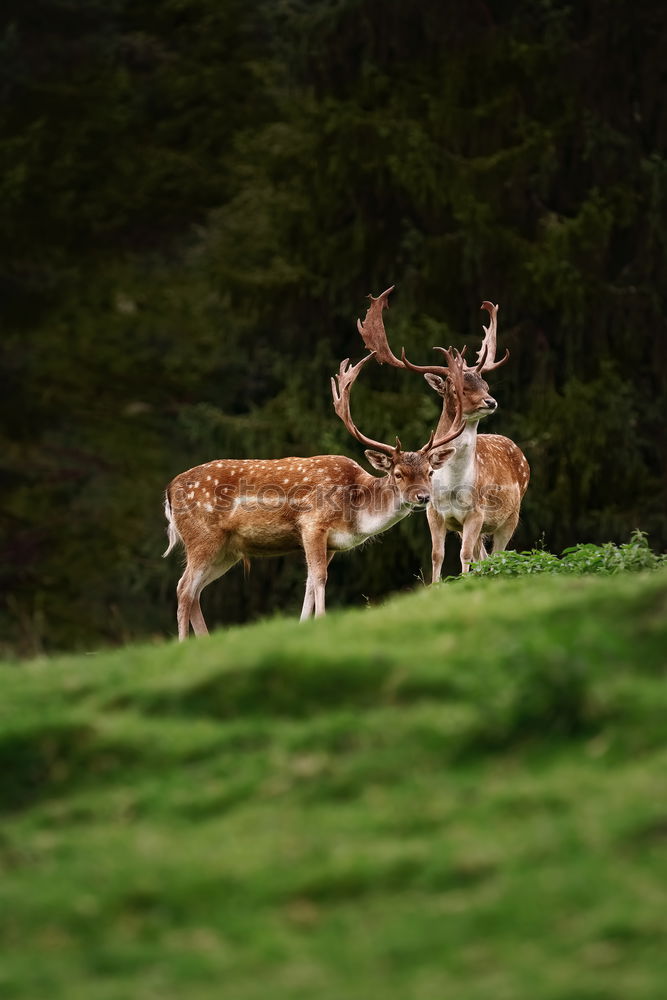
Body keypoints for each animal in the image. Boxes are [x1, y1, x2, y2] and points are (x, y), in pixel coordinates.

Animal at [163, 338, 464, 632]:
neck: (355, 510)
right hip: (202, 536)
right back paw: (183, 642)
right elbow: (319, 577)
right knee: (184, 588)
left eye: (429, 472)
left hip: (228, 550)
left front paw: (304, 623)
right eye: (398, 473)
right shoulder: (312, 524)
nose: (423, 497)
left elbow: (308, 583)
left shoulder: (331, 544)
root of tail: (168, 490)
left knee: (196, 591)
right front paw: (321, 620)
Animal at [354, 284, 532, 580]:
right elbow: (437, 555)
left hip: (511, 516)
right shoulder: (434, 513)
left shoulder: (476, 513)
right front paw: (435, 585)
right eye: (457, 388)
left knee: (497, 554)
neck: (451, 486)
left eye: (485, 383)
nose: (491, 401)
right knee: (484, 555)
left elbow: (464, 556)